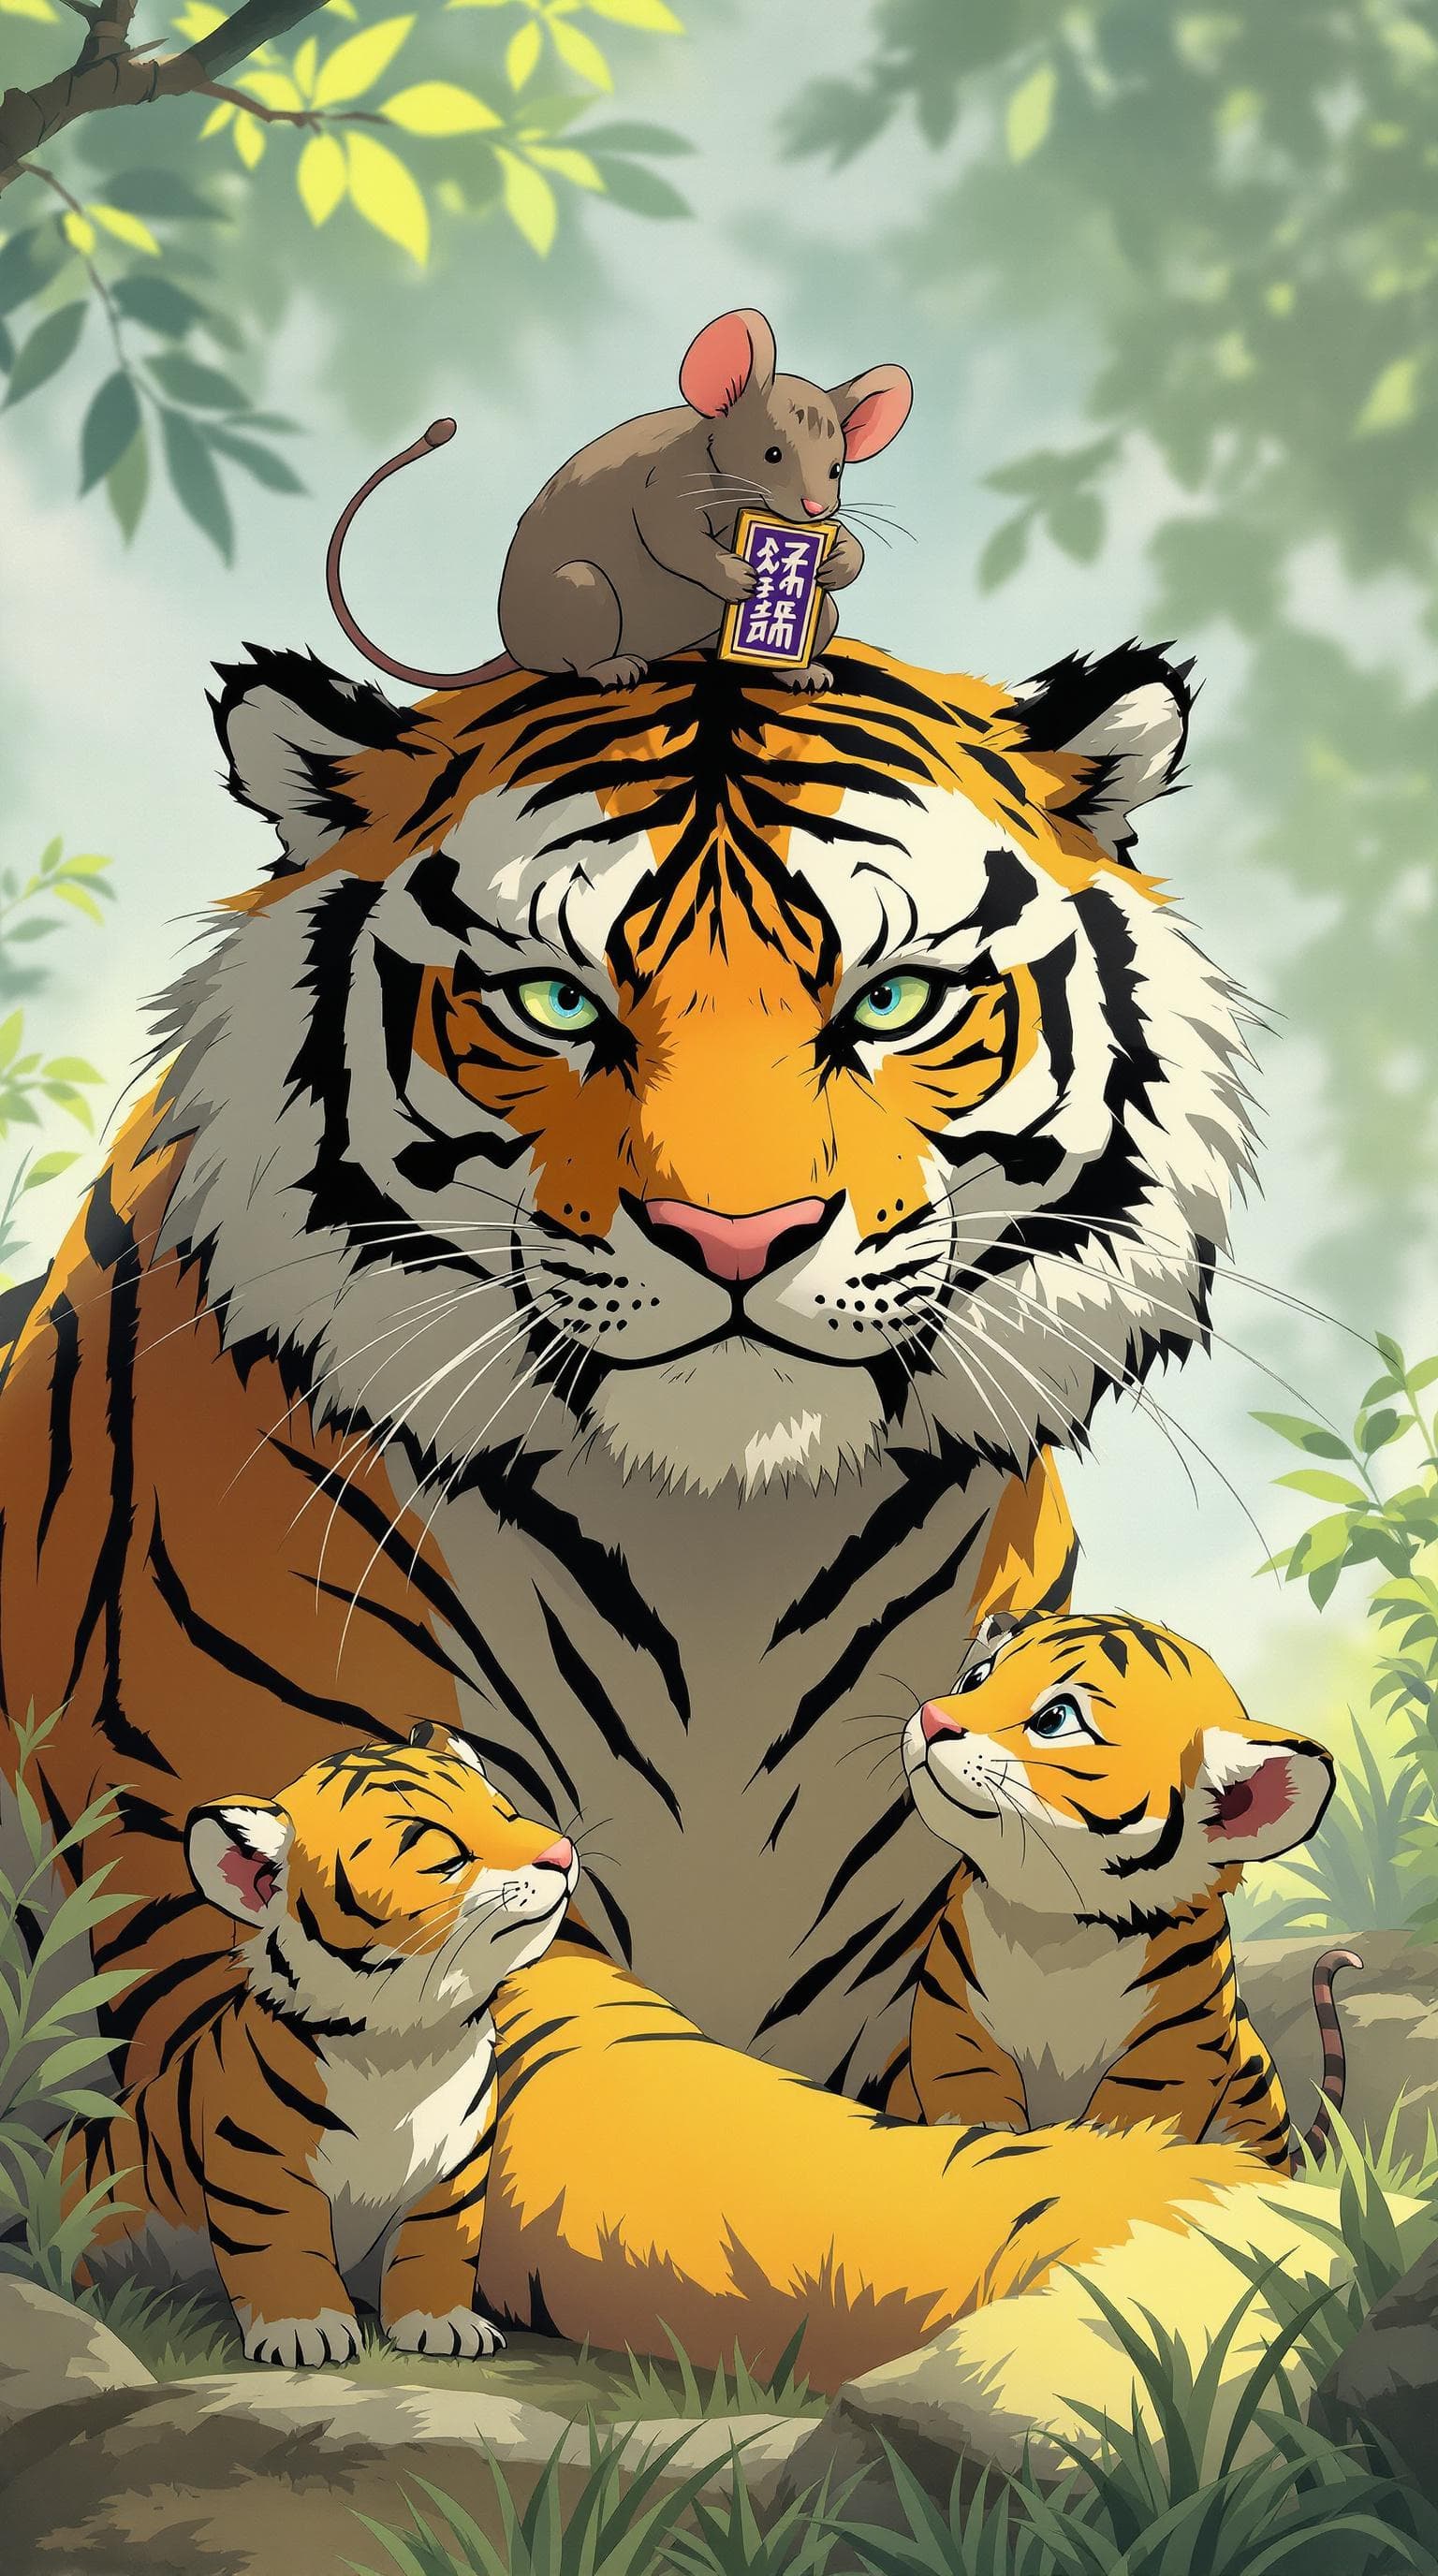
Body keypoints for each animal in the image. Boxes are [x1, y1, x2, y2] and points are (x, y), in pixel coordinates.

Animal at [64, 1723, 578, 2367]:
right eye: (437, 1850)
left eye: (505, 1811)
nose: (560, 1854)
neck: (407, 2044)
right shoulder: (259, 2160)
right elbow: (280, 2243)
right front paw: (304, 2330)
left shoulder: (454, 2169)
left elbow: (437, 2243)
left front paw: (442, 2323)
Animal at [898, 1609, 1360, 2169]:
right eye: (976, 1679)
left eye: (1055, 1719)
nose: (932, 1719)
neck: (1055, 1931)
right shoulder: (953, 2019)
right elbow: (971, 2109)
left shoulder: (1170, 2054)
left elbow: (1125, 2135)